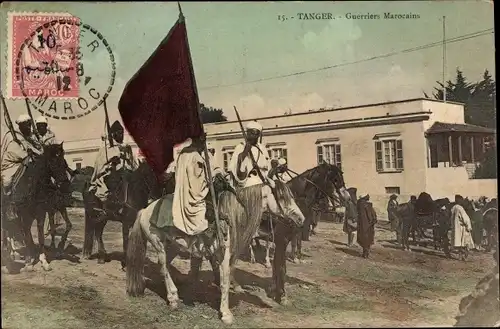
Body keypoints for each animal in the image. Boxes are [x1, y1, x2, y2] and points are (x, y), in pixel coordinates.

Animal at [0, 143, 71, 272]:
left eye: (64, 163)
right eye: (52, 162)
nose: (65, 186)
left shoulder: (40, 214)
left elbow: (40, 236)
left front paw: (44, 260)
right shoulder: (23, 216)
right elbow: (26, 237)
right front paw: (29, 262)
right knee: (7, 232)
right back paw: (11, 254)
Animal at [125, 181, 304, 324]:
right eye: (282, 197)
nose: (301, 218)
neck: (231, 216)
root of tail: (145, 210)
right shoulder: (224, 256)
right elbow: (224, 282)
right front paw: (226, 314)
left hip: (172, 246)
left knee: (165, 268)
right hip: (159, 245)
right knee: (163, 268)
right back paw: (173, 299)